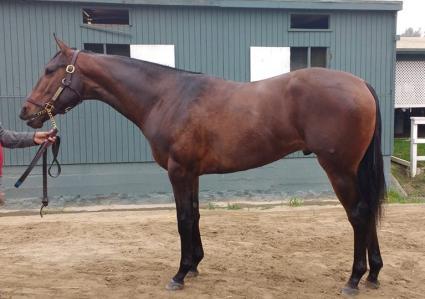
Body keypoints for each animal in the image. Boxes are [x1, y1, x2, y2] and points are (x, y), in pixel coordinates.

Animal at [19, 37, 384, 296]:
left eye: (50, 71)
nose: (26, 112)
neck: (167, 97)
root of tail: (361, 84)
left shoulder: (178, 171)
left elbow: (182, 219)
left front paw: (179, 274)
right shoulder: (191, 173)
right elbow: (194, 215)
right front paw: (194, 265)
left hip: (339, 169)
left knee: (359, 215)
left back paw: (354, 280)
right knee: (368, 214)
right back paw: (374, 274)